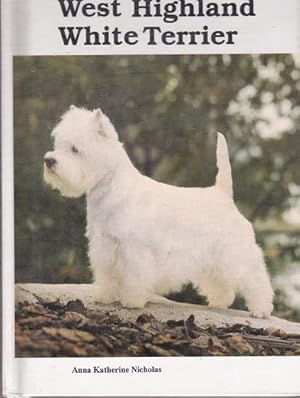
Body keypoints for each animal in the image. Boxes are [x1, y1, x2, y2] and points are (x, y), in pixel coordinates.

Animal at [44, 105, 274, 318]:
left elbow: (135, 276)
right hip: (213, 259)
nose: (49, 160)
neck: (110, 187)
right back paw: (219, 302)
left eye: (75, 149)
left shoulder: (134, 248)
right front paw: (105, 296)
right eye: (57, 144)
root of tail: (223, 194)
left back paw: (261, 309)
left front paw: (132, 301)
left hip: (235, 252)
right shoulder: (104, 245)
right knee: (221, 282)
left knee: (255, 278)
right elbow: (106, 273)